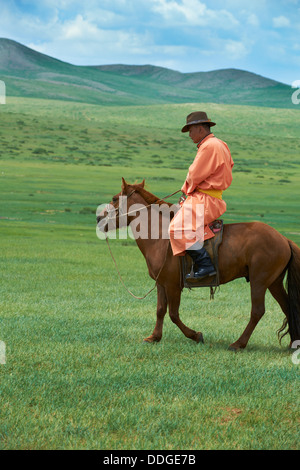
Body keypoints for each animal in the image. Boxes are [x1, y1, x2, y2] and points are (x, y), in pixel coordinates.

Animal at [97, 178, 300, 350]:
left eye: (114, 198)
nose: (99, 219)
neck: (159, 237)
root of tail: (283, 239)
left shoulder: (172, 286)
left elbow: (173, 314)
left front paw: (195, 335)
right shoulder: (161, 283)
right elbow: (160, 310)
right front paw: (154, 337)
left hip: (259, 282)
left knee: (257, 311)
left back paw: (238, 344)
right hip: (273, 283)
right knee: (287, 306)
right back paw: (293, 344)